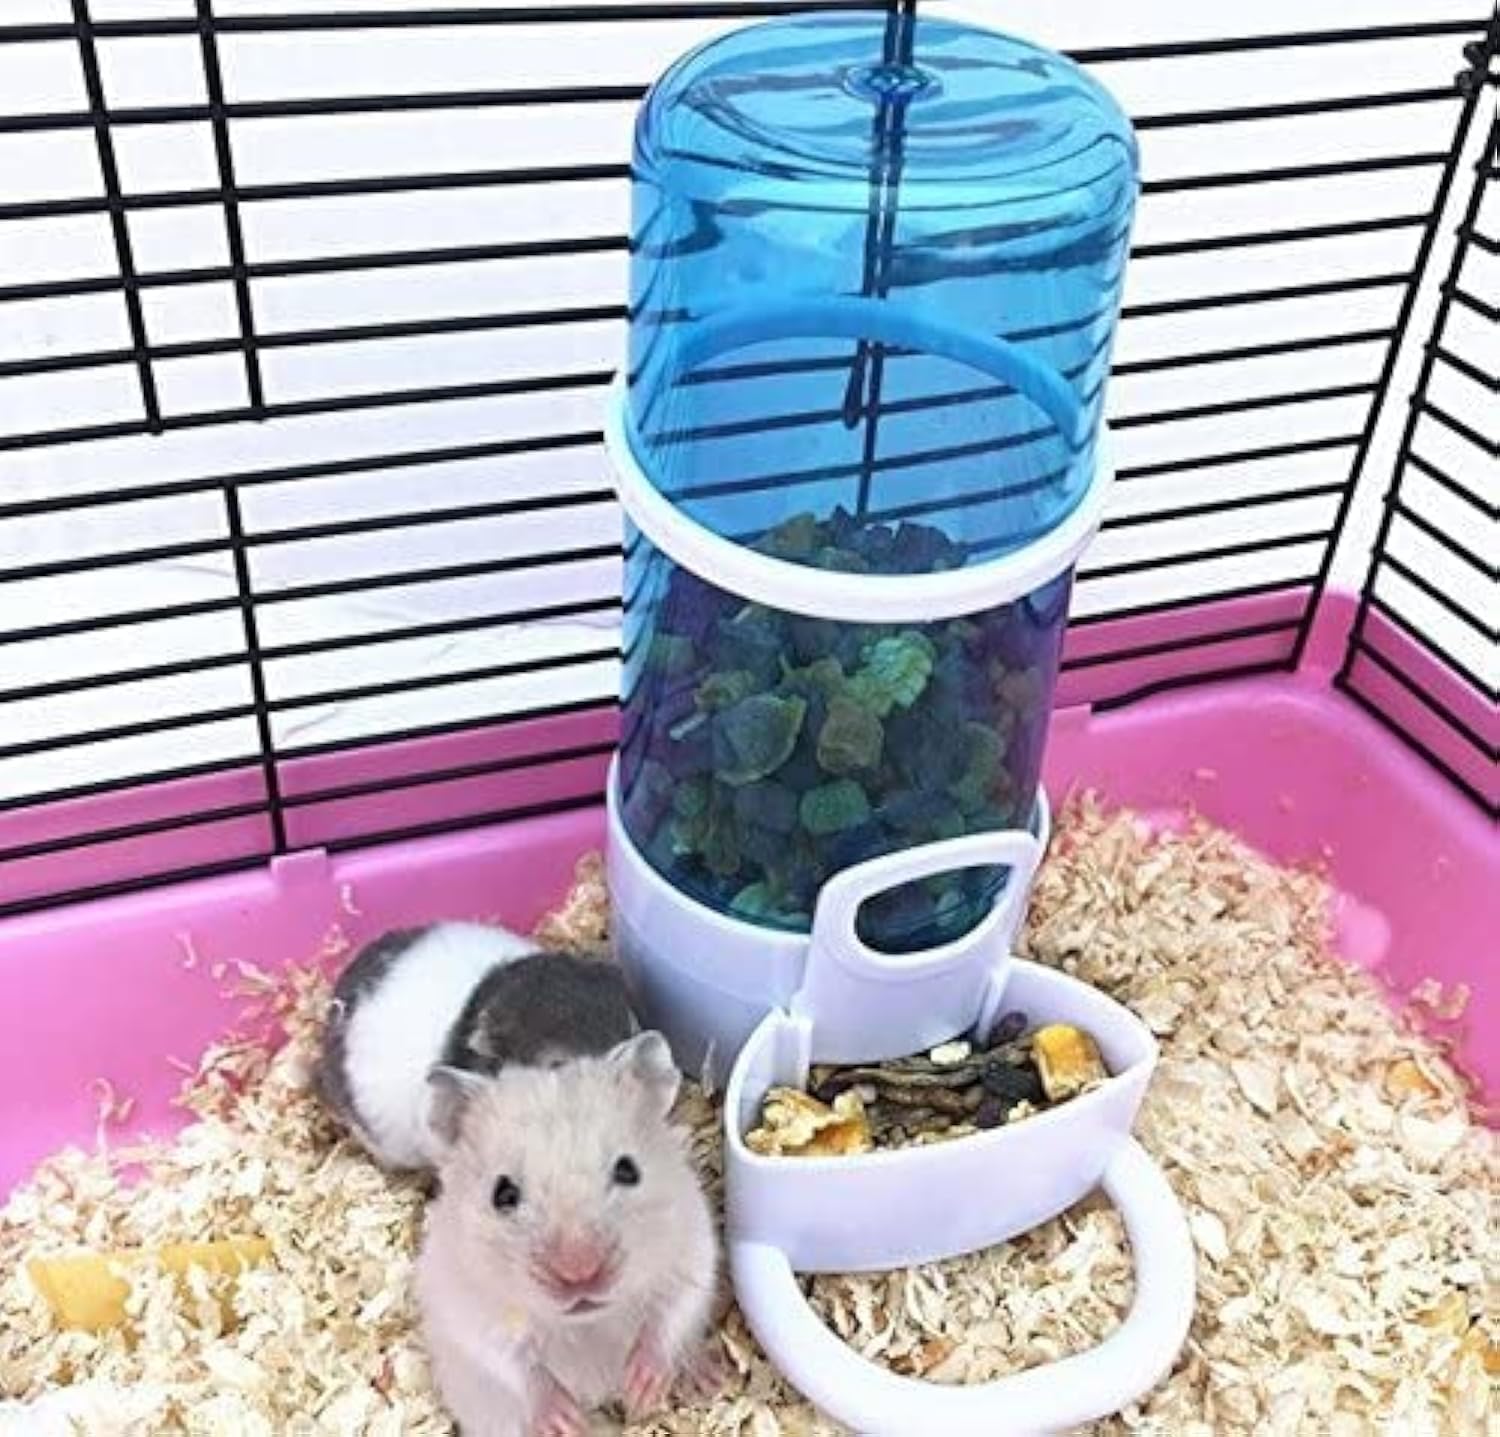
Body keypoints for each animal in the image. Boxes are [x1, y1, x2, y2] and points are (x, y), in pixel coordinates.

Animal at [414, 1033, 721, 1437]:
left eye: (628, 1170)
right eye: (502, 1194)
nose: (580, 1274)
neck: (587, 1324)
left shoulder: (692, 1256)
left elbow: (667, 1320)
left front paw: (641, 1388)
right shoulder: (473, 1314)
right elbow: (519, 1367)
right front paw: (565, 1421)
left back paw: (711, 1378)